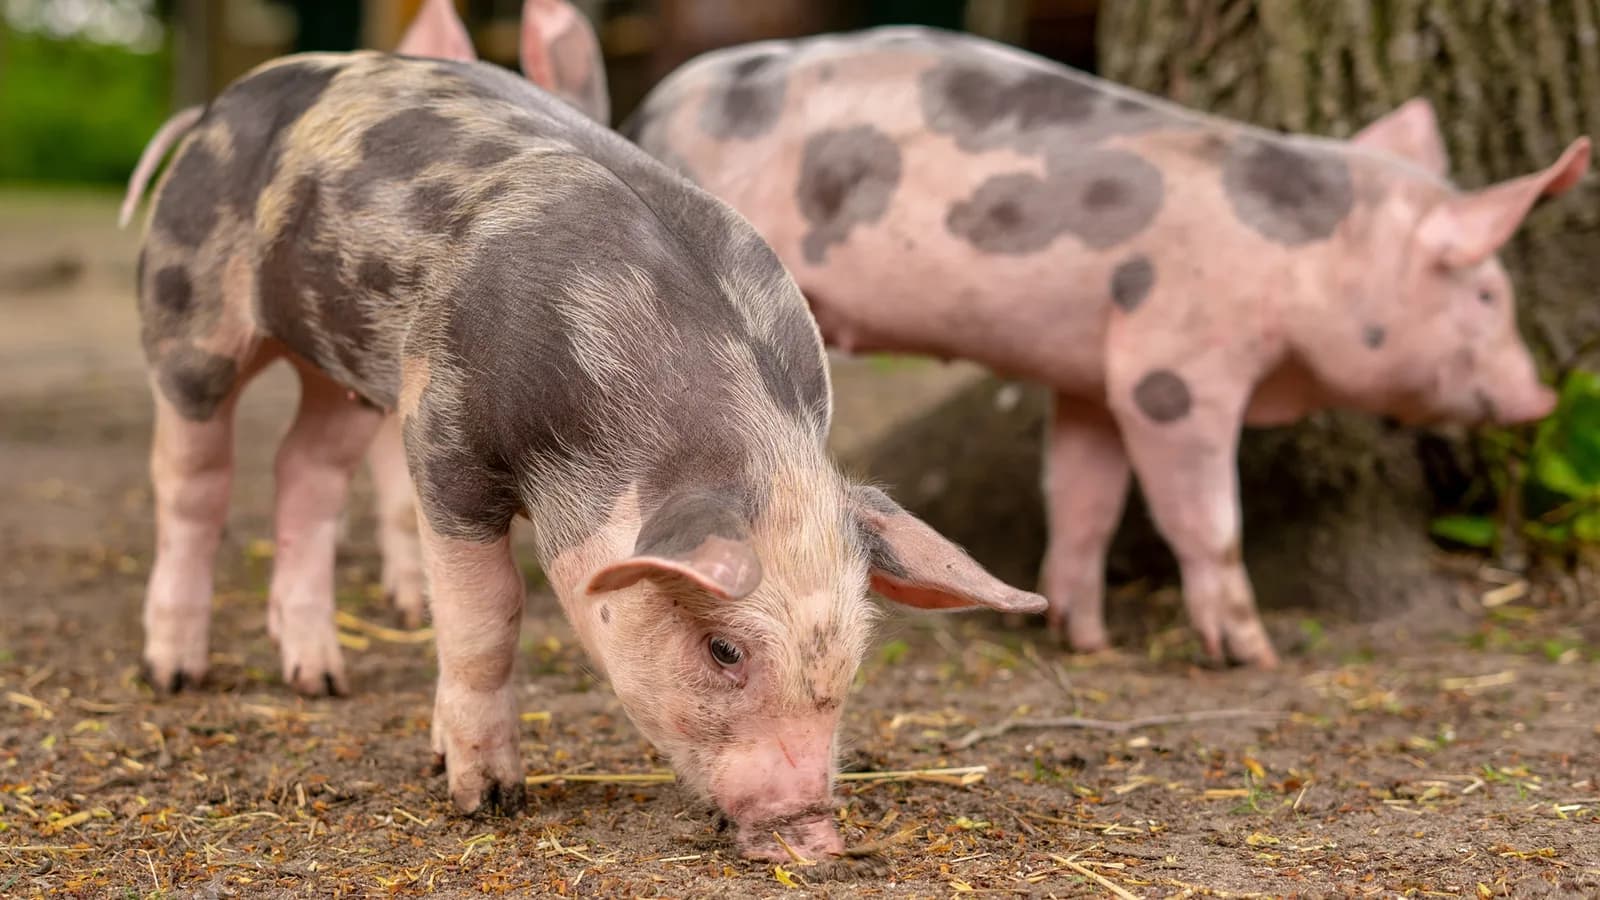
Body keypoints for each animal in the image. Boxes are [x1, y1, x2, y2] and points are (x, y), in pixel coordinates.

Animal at [116, 13, 1045, 864]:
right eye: (724, 649)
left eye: (854, 651)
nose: (815, 836)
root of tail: (216, 106)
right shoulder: (441, 433)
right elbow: (486, 615)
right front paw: (485, 797)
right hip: (189, 317)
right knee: (192, 481)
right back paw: (175, 670)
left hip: (342, 364)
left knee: (302, 469)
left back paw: (319, 680)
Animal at [622, 26, 1592, 669]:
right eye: (1486, 292)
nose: (1543, 395)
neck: (1307, 259)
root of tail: (656, 108)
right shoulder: (1172, 371)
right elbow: (1206, 519)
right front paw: (1254, 655)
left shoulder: (1091, 376)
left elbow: (1085, 496)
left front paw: (1081, 636)